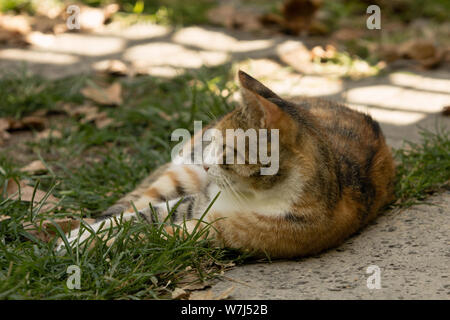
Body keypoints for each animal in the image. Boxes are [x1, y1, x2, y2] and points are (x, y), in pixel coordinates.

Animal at [59, 70, 394, 258]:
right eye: (214, 142)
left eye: (228, 149)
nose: (208, 164)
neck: (252, 195)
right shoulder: (197, 201)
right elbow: (140, 216)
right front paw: (78, 237)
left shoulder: (210, 228)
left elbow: (145, 231)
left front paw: (81, 243)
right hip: (182, 173)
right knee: (133, 202)